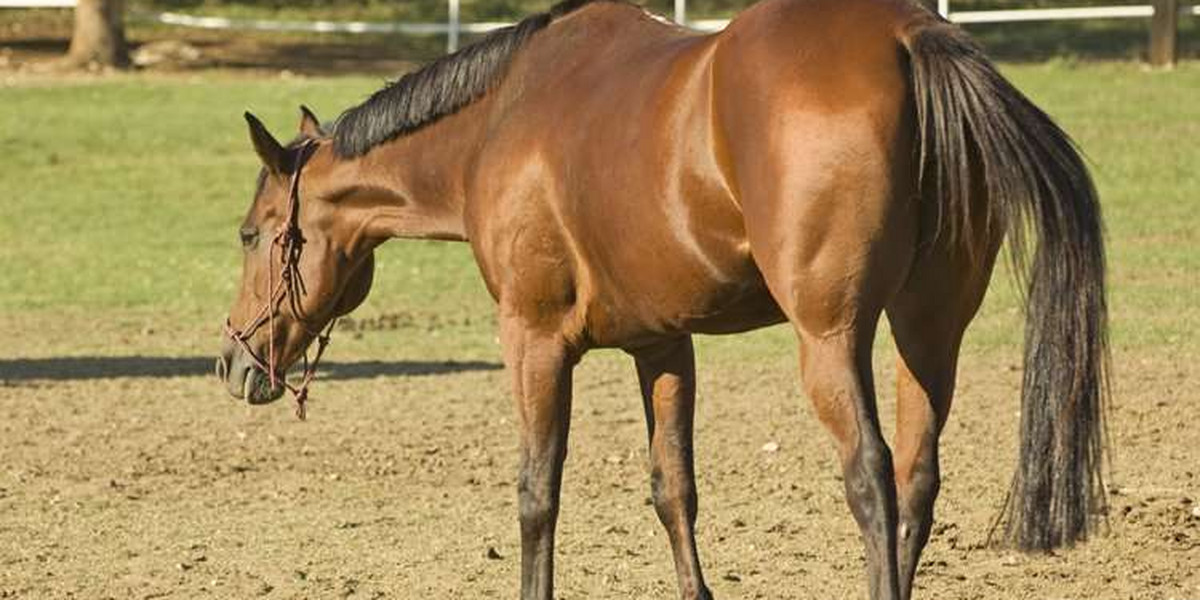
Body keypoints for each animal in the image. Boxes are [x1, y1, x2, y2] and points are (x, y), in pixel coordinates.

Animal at [213, 1, 1104, 600]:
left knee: (873, 478)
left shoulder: (533, 341)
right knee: (918, 479)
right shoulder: (663, 346)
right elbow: (673, 489)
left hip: (831, 339)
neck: (500, 121)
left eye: (253, 234)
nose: (233, 362)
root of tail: (905, 36)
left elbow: (537, 492)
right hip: (929, 333)